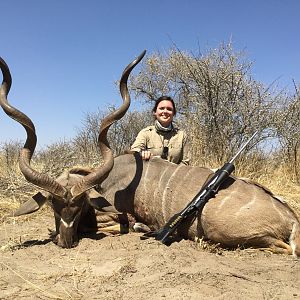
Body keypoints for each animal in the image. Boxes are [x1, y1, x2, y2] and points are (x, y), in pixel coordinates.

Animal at [0, 54, 300, 255]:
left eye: (82, 203)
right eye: (53, 203)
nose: (65, 241)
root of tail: (292, 218)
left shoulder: (116, 218)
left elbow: (112, 227)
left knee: (282, 248)